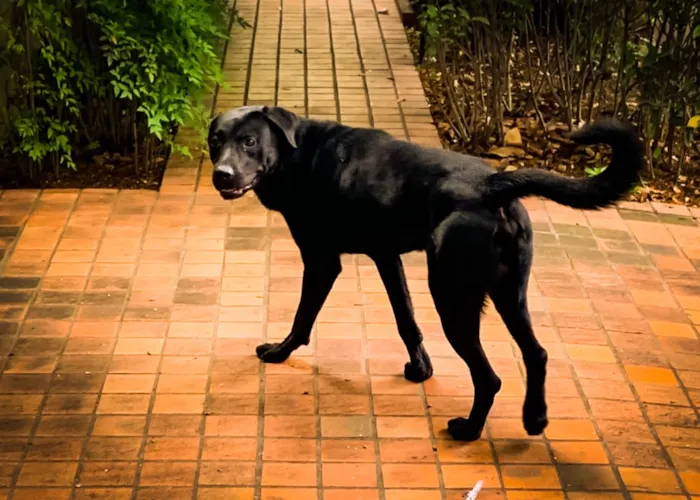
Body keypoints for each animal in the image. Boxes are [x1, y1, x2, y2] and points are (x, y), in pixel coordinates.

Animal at [209, 106, 644, 442]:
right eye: (216, 140)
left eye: (249, 141)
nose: (221, 174)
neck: (299, 156)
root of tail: (493, 184)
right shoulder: (387, 258)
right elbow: (407, 321)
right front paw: (421, 369)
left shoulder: (322, 262)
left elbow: (302, 318)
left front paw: (279, 352)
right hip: (509, 293)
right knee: (536, 353)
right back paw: (534, 418)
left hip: (452, 296)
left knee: (489, 378)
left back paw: (469, 430)